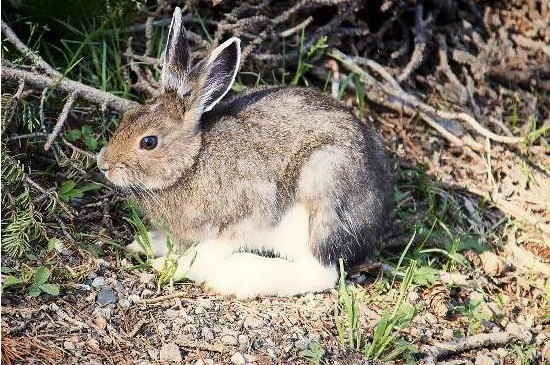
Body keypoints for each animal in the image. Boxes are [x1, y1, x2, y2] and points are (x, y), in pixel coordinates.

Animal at [97, 7, 394, 298]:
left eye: (149, 142)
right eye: (128, 116)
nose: (103, 164)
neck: (192, 162)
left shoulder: (241, 219)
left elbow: (204, 253)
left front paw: (168, 266)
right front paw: (144, 244)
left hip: (319, 191)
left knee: (321, 271)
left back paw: (235, 277)